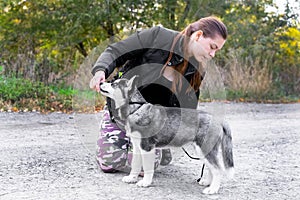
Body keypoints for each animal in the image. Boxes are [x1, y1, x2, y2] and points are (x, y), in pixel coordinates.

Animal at [100, 75, 234, 194]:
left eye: (114, 84)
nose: (101, 83)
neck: (136, 109)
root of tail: (218, 119)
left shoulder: (147, 148)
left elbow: (147, 168)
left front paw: (145, 183)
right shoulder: (137, 147)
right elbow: (135, 165)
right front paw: (131, 178)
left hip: (205, 148)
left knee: (217, 169)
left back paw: (213, 189)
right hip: (202, 150)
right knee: (212, 168)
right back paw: (207, 183)